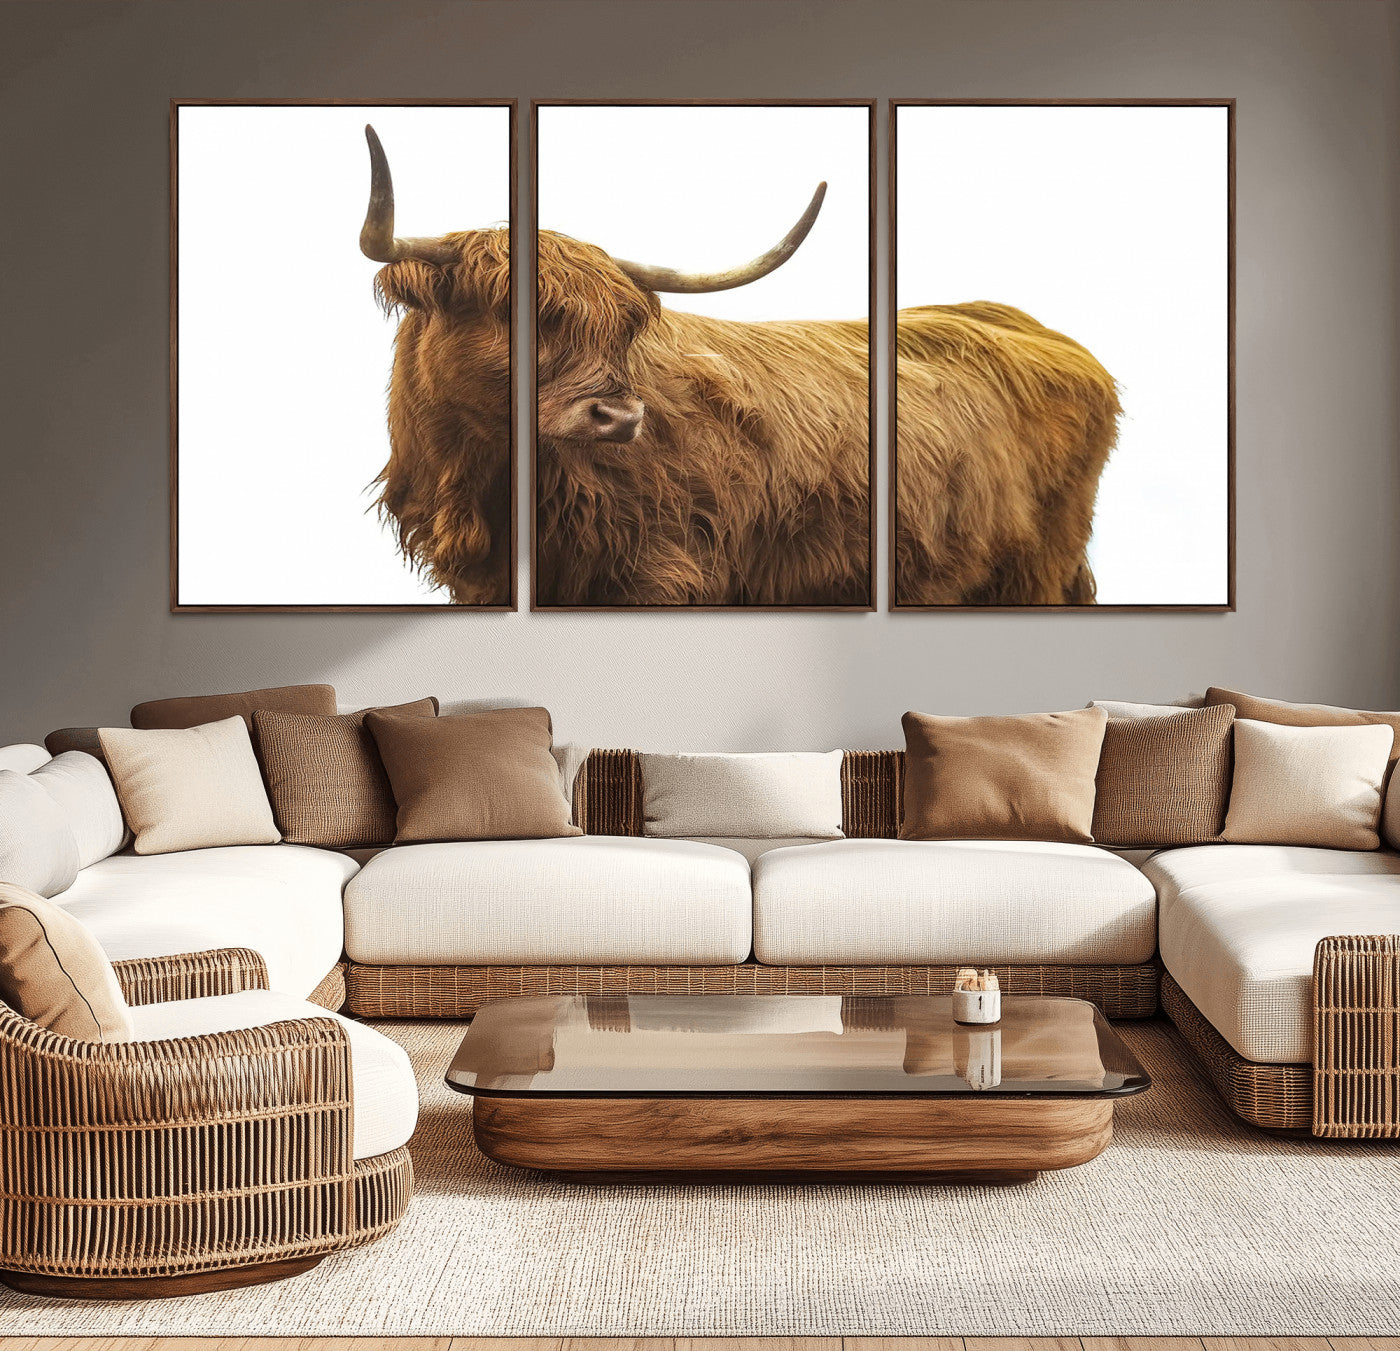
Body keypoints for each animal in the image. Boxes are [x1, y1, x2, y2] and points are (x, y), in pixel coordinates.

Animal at [359, 125, 1118, 607]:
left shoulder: (663, 572)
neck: (482, 485)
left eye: (626, 327)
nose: (619, 415)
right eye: (513, 310)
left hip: (1036, 570)